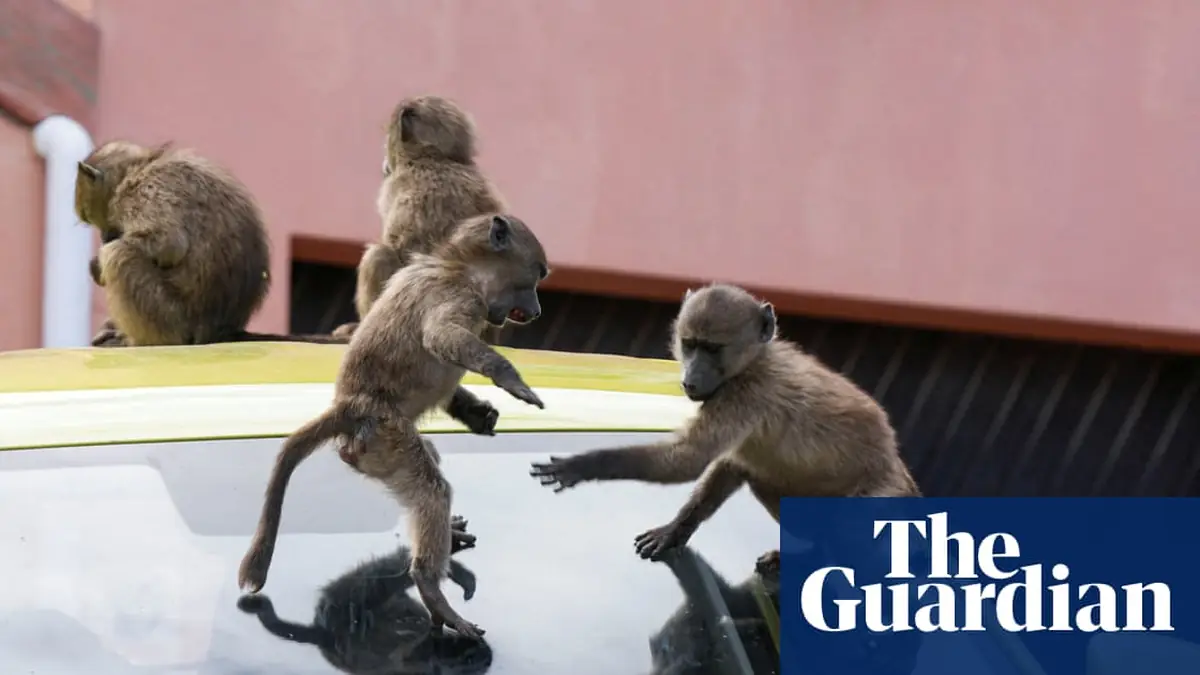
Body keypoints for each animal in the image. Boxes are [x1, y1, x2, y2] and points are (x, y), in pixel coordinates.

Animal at [236, 529, 493, 675]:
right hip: (348, 598)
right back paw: (455, 569)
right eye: (469, 659)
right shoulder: (412, 658)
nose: (486, 655)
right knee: (387, 575)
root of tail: (322, 633)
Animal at [238, 212, 550, 639]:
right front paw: (511, 379)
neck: (457, 265)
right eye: (536, 276)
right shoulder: (460, 296)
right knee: (432, 490)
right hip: (385, 435)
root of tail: (349, 406)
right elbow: (441, 335)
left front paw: (476, 413)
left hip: (378, 447)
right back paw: (430, 587)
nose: (535, 310)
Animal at [530, 283, 920, 574]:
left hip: (882, 498)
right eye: (690, 345)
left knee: (851, 533)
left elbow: (688, 459)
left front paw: (583, 465)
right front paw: (675, 530)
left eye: (712, 349)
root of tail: (897, 465)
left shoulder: (745, 394)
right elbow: (731, 465)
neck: (752, 362)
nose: (690, 379)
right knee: (764, 477)